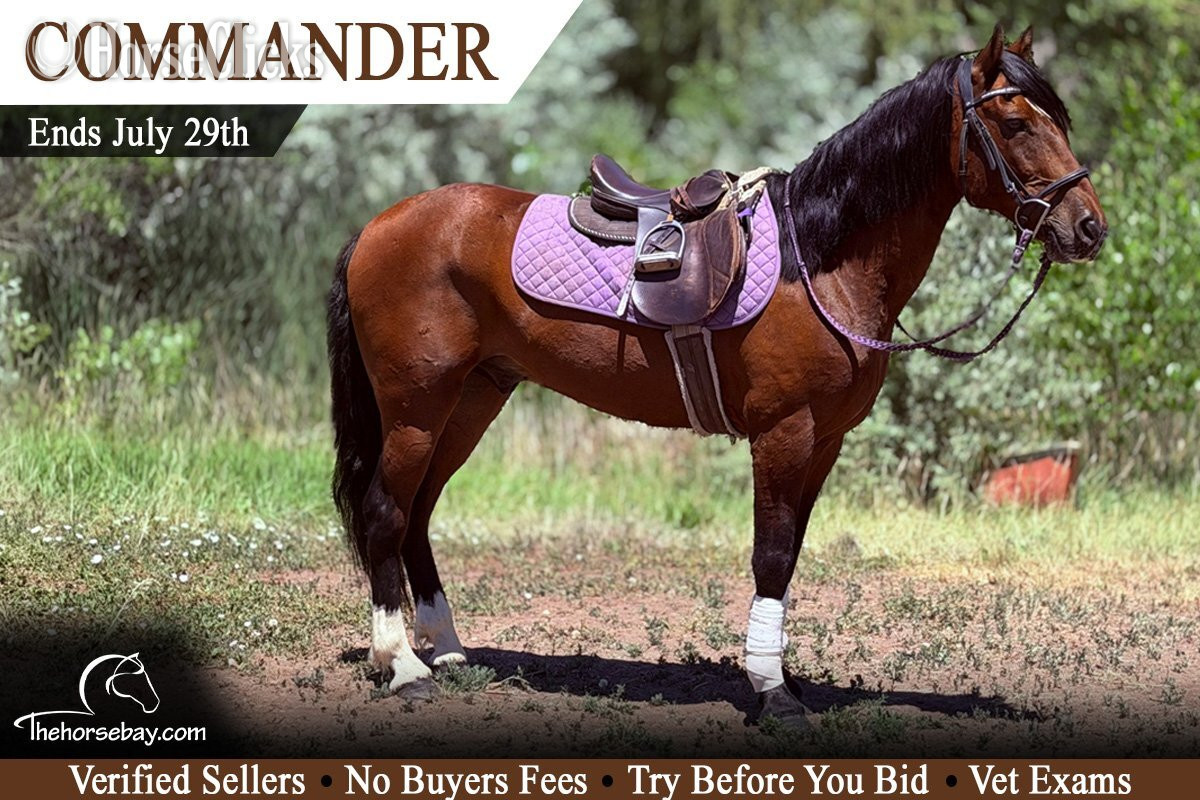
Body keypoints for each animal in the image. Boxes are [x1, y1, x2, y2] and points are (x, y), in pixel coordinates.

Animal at [326, 25, 1106, 725]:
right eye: (1013, 122)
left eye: (1059, 119)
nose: (1090, 227)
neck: (816, 258)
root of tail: (377, 227)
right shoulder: (784, 433)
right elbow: (770, 556)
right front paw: (772, 693)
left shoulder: (825, 442)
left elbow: (789, 558)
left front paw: (781, 678)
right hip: (417, 406)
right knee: (386, 512)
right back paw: (403, 667)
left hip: (472, 399)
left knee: (420, 513)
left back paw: (449, 652)